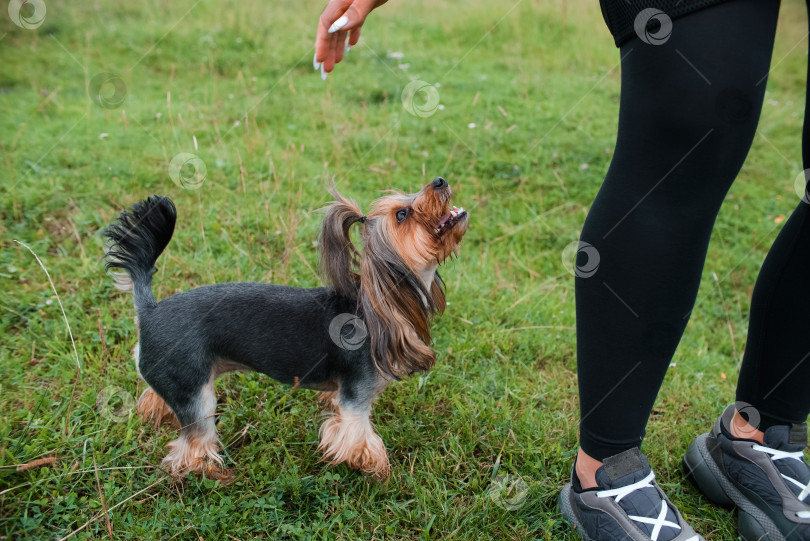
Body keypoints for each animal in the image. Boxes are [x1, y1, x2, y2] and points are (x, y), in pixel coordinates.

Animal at [102, 177, 468, 476]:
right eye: (402, 215)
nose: (439, 180)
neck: (382, 302)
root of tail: (149, 311)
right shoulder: (355, 398)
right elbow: (359, 440)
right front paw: (377, 471)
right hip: (197, 395)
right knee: (191, 447)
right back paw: (213, 473)